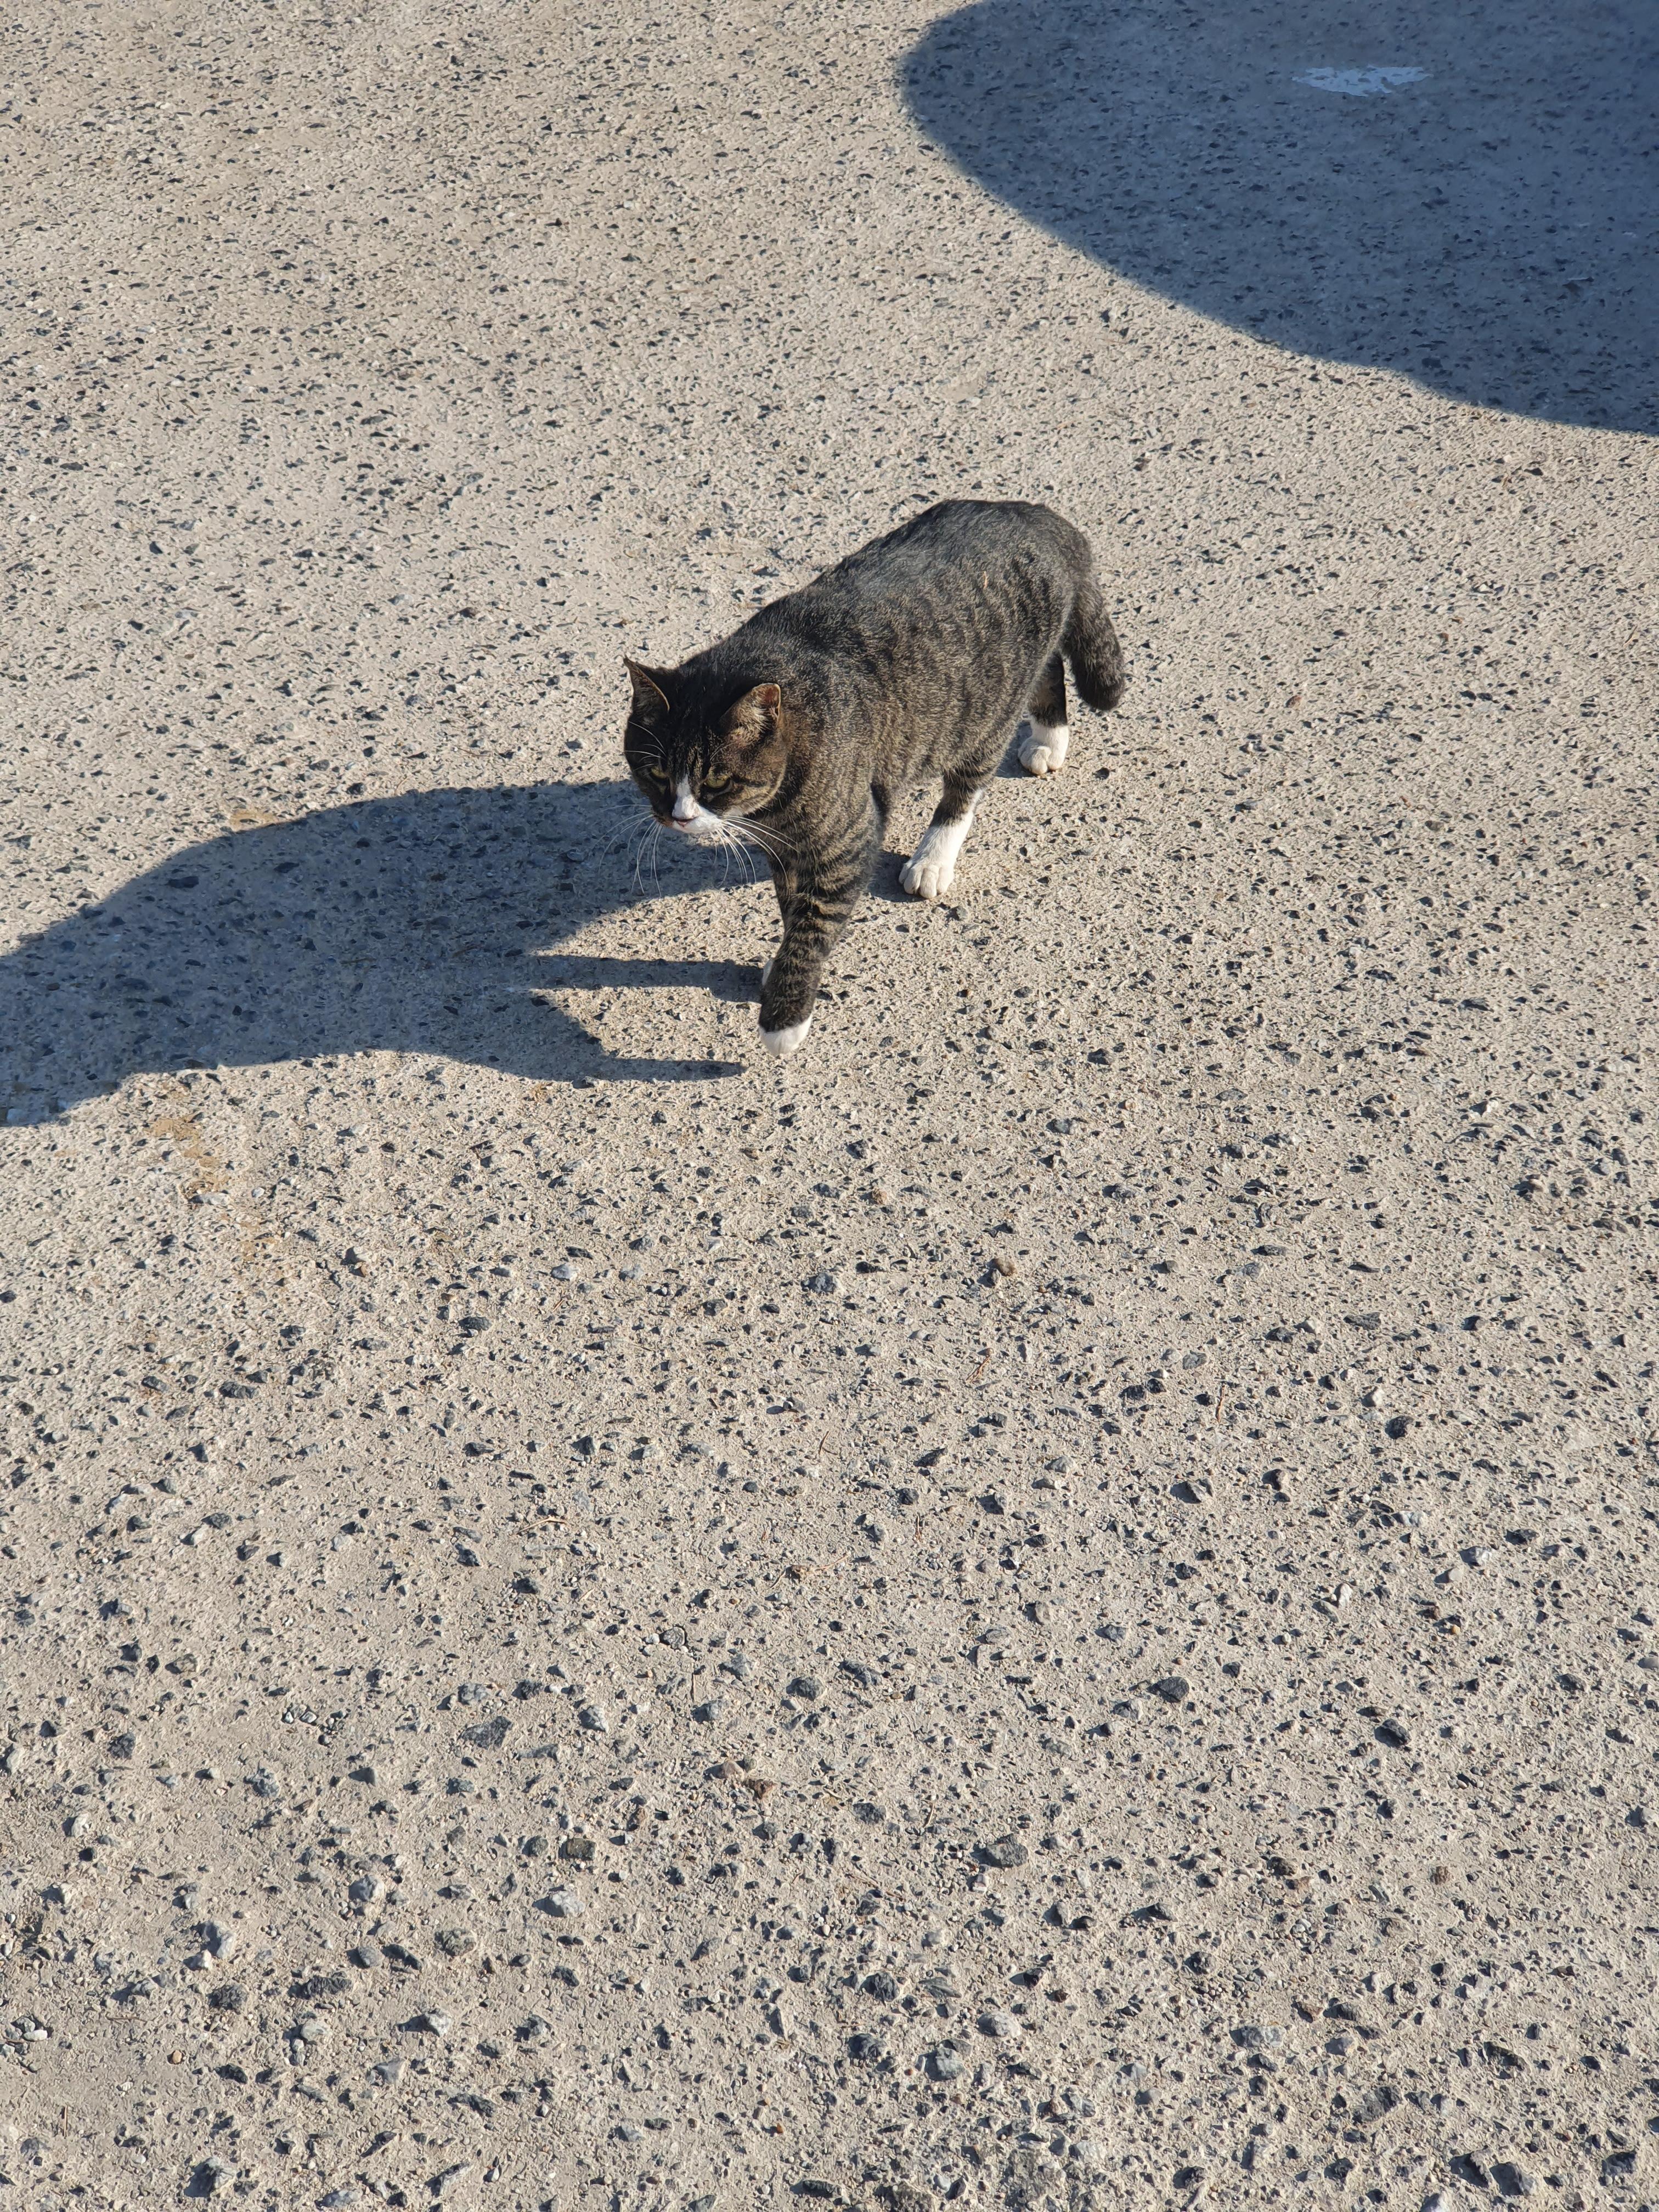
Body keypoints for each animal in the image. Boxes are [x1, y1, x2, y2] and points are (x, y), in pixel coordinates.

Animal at [622, 498, 1125, 1057]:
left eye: (715, 782)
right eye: (655, 772)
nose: (678, 817)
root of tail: (1036, 515)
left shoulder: (845, 841)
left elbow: (813, 925)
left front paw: (786, 1013)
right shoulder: (784, 847)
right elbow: (791, 908)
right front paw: (781, 960)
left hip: (981, 711)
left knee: (967, 786)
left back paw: (935, 855)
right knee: (1051, 668)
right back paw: (1049, 738)